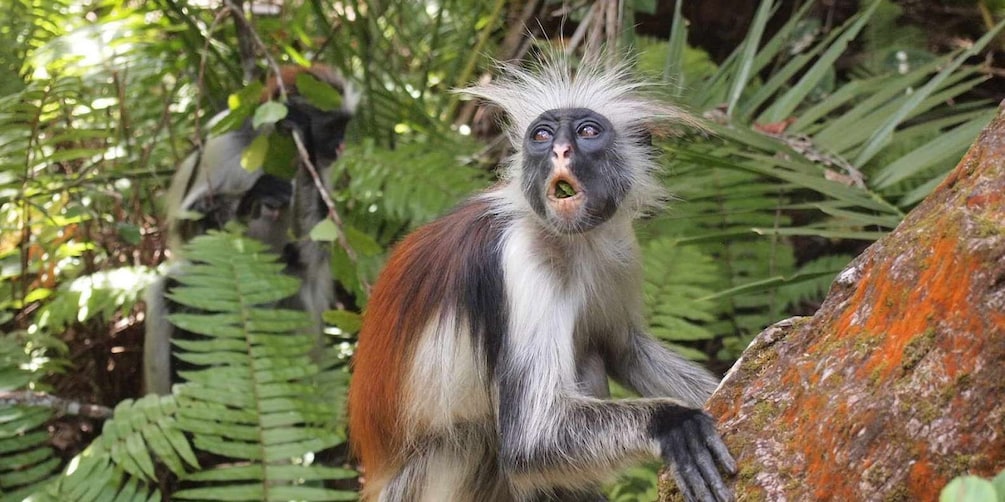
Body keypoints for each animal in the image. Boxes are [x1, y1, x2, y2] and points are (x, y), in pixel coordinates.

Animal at [145, 62, 357, 393]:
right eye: (333, 127)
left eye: (344, 127)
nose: (340, 147)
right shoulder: (221, 143)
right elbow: (189, 234)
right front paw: (249, 200)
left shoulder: (320, 170)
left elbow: (313, 253)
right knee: (173, 285)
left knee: (293, 273)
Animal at [349, 59, 735, 501]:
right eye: (542, 135)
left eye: (588, 132)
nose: (559, 150)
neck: (573, 241)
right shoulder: (524, 257)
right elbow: (530, 438)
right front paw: (672, 421)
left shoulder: (620, 248)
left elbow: (624, 349)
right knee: (474, 438)